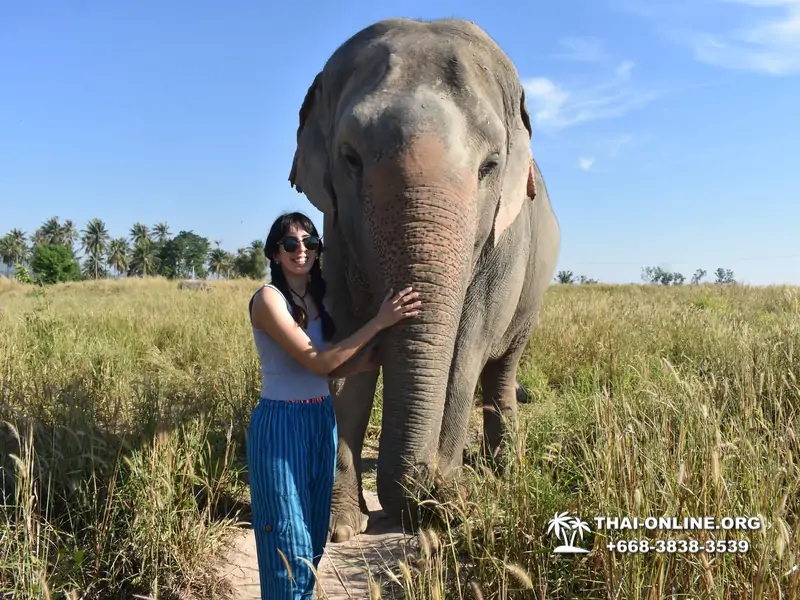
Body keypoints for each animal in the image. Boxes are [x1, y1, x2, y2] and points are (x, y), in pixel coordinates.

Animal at [287, 17, 560, 542]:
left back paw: (504, 472)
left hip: (533, 299)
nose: (433, 492)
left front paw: (449, 501)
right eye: (350, 158)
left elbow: (465, 351)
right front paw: (339, 528)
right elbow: (345, 344)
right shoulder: (337, 233)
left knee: (500, 369)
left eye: (490, 166)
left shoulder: (504, 243)